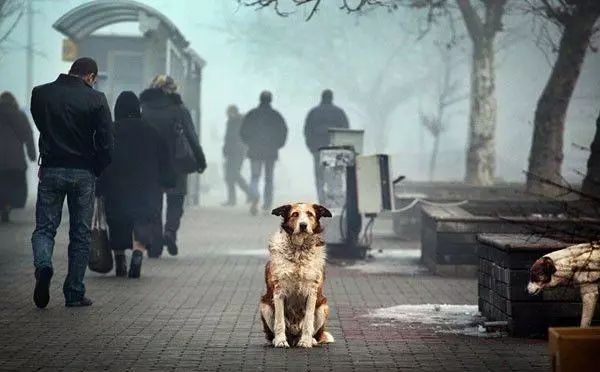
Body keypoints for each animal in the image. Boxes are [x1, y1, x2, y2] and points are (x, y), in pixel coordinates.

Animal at [260, 202, 336, 348]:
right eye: (295, 214)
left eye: (310, 214)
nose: (303, 225)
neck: (299, 250)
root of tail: (294, 338)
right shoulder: (279, 292)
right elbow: (279, 321)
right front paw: (280, 341)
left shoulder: (312, 291)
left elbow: (308, 320)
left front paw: (305, 341)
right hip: (264, 306)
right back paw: (276, 339)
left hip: (323, 307)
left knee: (315, 332)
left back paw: (311, 340)